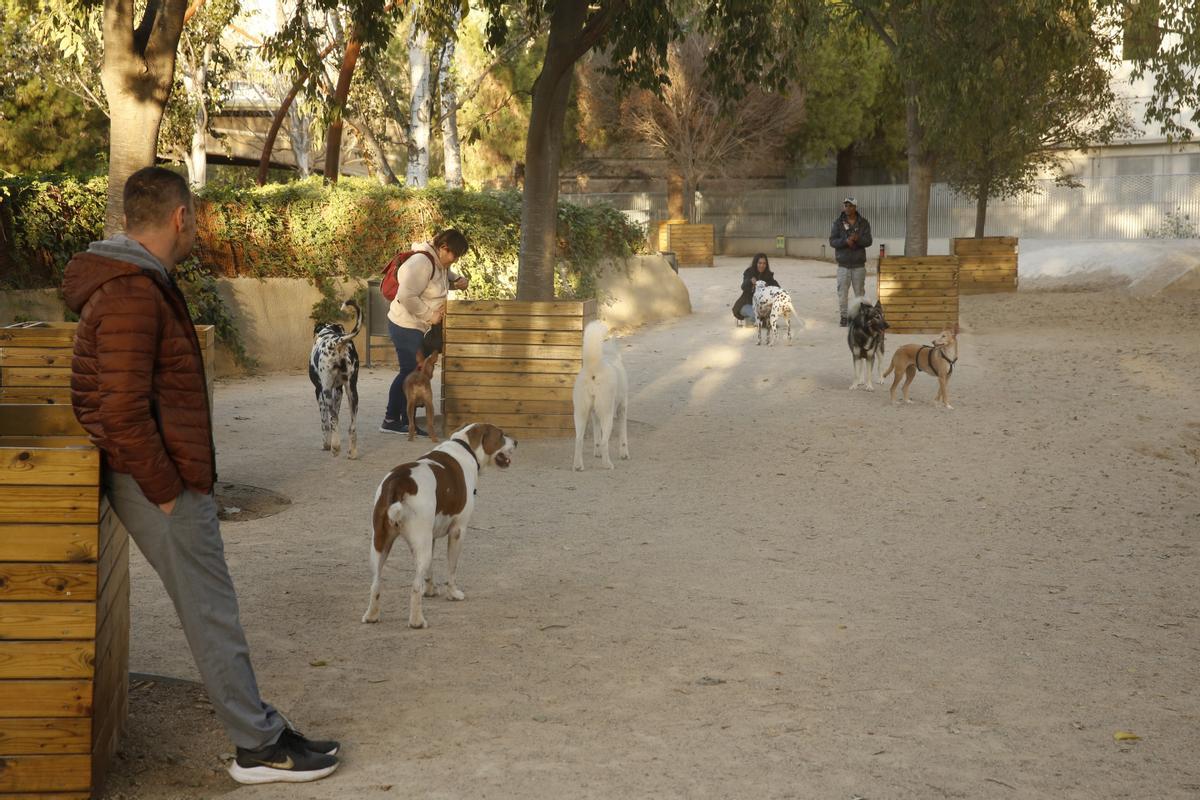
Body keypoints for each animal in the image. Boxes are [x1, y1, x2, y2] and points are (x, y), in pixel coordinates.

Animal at [309, 299, 360, 460]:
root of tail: (337, 341)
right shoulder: (339, 390)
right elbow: (336, 414)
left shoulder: (319, 391)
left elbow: (325, 422)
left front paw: (326, 444)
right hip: (352, 393)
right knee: (351, 426)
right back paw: (352, 452)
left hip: (326, 392)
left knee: (333, 420)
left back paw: (335, 447)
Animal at [357, 422, 513, 628]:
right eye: (501, 435)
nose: (516, 441)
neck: (465, 447)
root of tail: (398, 483)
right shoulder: (458, 531)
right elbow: (452, 568)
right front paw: (453, 594)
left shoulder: (429, 537)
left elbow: (430, 569)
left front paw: (430, 590)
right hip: (417, 544)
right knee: (414, 586)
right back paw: (417, 621)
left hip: (380, 544)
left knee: (376, 583)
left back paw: (372, 615)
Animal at [571, 319, 628, 470]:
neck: (608, 354)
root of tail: (594, 367)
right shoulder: (622, 409)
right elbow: (623, 435)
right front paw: (624, 454)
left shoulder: (593, 413)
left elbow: (596, 435)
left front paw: (597, 453)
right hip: (607, 414)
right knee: (604, 441)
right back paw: (607, 464)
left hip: (580, 413)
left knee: (578, 440)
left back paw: (578, 466)